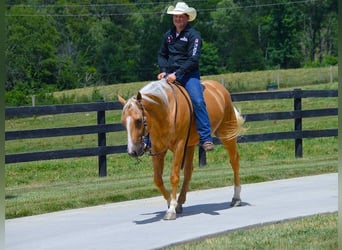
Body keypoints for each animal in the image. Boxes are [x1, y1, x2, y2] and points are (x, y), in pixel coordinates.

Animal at [119, 79, 244, 220]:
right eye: (123, 122)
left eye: (139, 120)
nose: (132, 151)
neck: (166, 110)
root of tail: (219, 87)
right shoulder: (158, 149)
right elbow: (157, 179)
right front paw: (171, 202)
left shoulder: (179, 146)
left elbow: (174, 176)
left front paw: (171, 209)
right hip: (190, 145)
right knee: (189, 170)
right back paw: (181, 201)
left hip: (227, 134)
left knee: (234, 161)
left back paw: (236, 198)